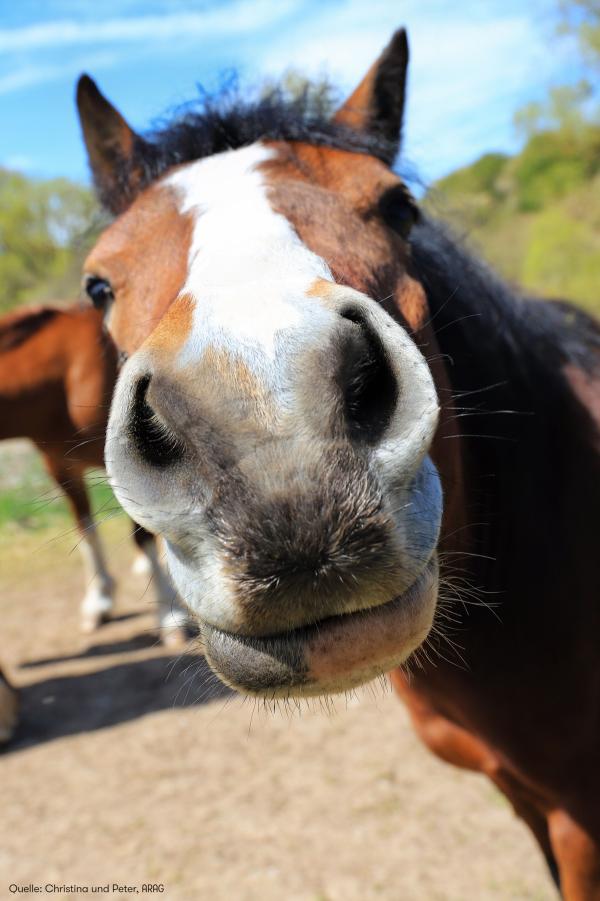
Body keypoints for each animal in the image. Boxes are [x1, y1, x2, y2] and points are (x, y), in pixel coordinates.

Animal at [0, 303, 188, 743]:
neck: (64, 372)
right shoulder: (59, 464)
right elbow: (85, 528)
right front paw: (98, 601)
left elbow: (141, 536)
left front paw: (169, 620)